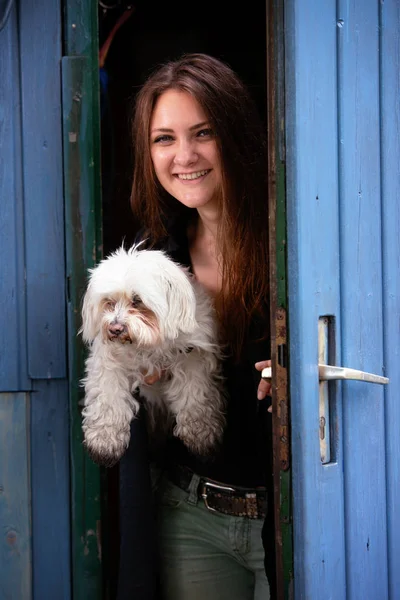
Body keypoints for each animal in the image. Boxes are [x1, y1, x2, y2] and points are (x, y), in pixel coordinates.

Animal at [79, 245, 227, 468]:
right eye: (109, 302)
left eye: (137, 301)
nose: (115, 328)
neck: (149, 344)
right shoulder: (109, 361)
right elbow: (108, 398)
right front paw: (104, 442)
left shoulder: (193, 356)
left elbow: (195, 394)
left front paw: (200, 433)